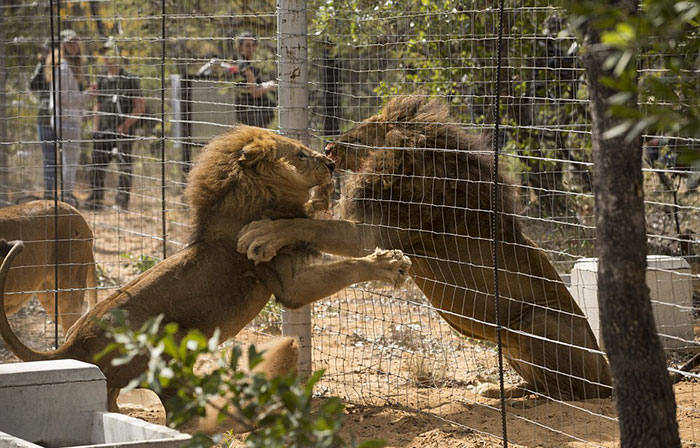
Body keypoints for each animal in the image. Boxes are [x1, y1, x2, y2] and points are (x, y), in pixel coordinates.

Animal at [237, 96, 613, 401]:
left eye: (365, 132)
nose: (329, 149)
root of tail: (609, 377)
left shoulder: (371, 235)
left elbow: (310, 226)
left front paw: (262, 233)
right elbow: (311, 221)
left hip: (534, 322)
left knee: (568, 394)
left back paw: (520, 397)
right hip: (510, 346)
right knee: (543, 385)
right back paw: (496, 389)